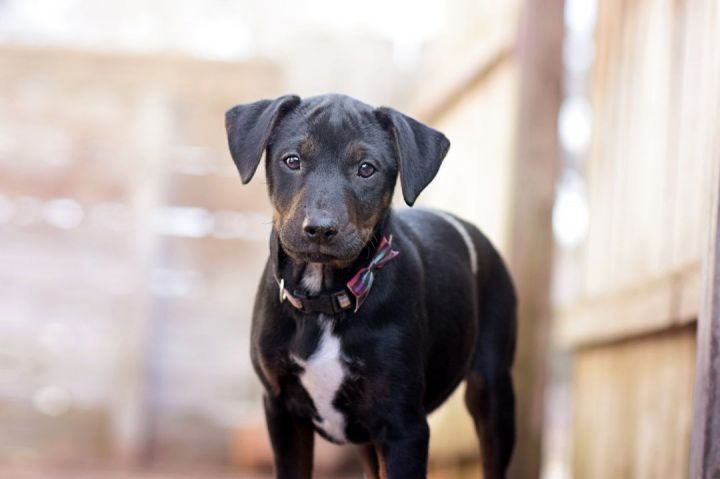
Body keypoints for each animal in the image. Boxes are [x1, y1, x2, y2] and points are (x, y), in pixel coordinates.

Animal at [228, 94, 516, 479]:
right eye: (292, 160)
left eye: (366, 169)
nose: (320, 229)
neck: (324, 300)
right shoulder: (281, 411)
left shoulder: (403, 426)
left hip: (493, 390)